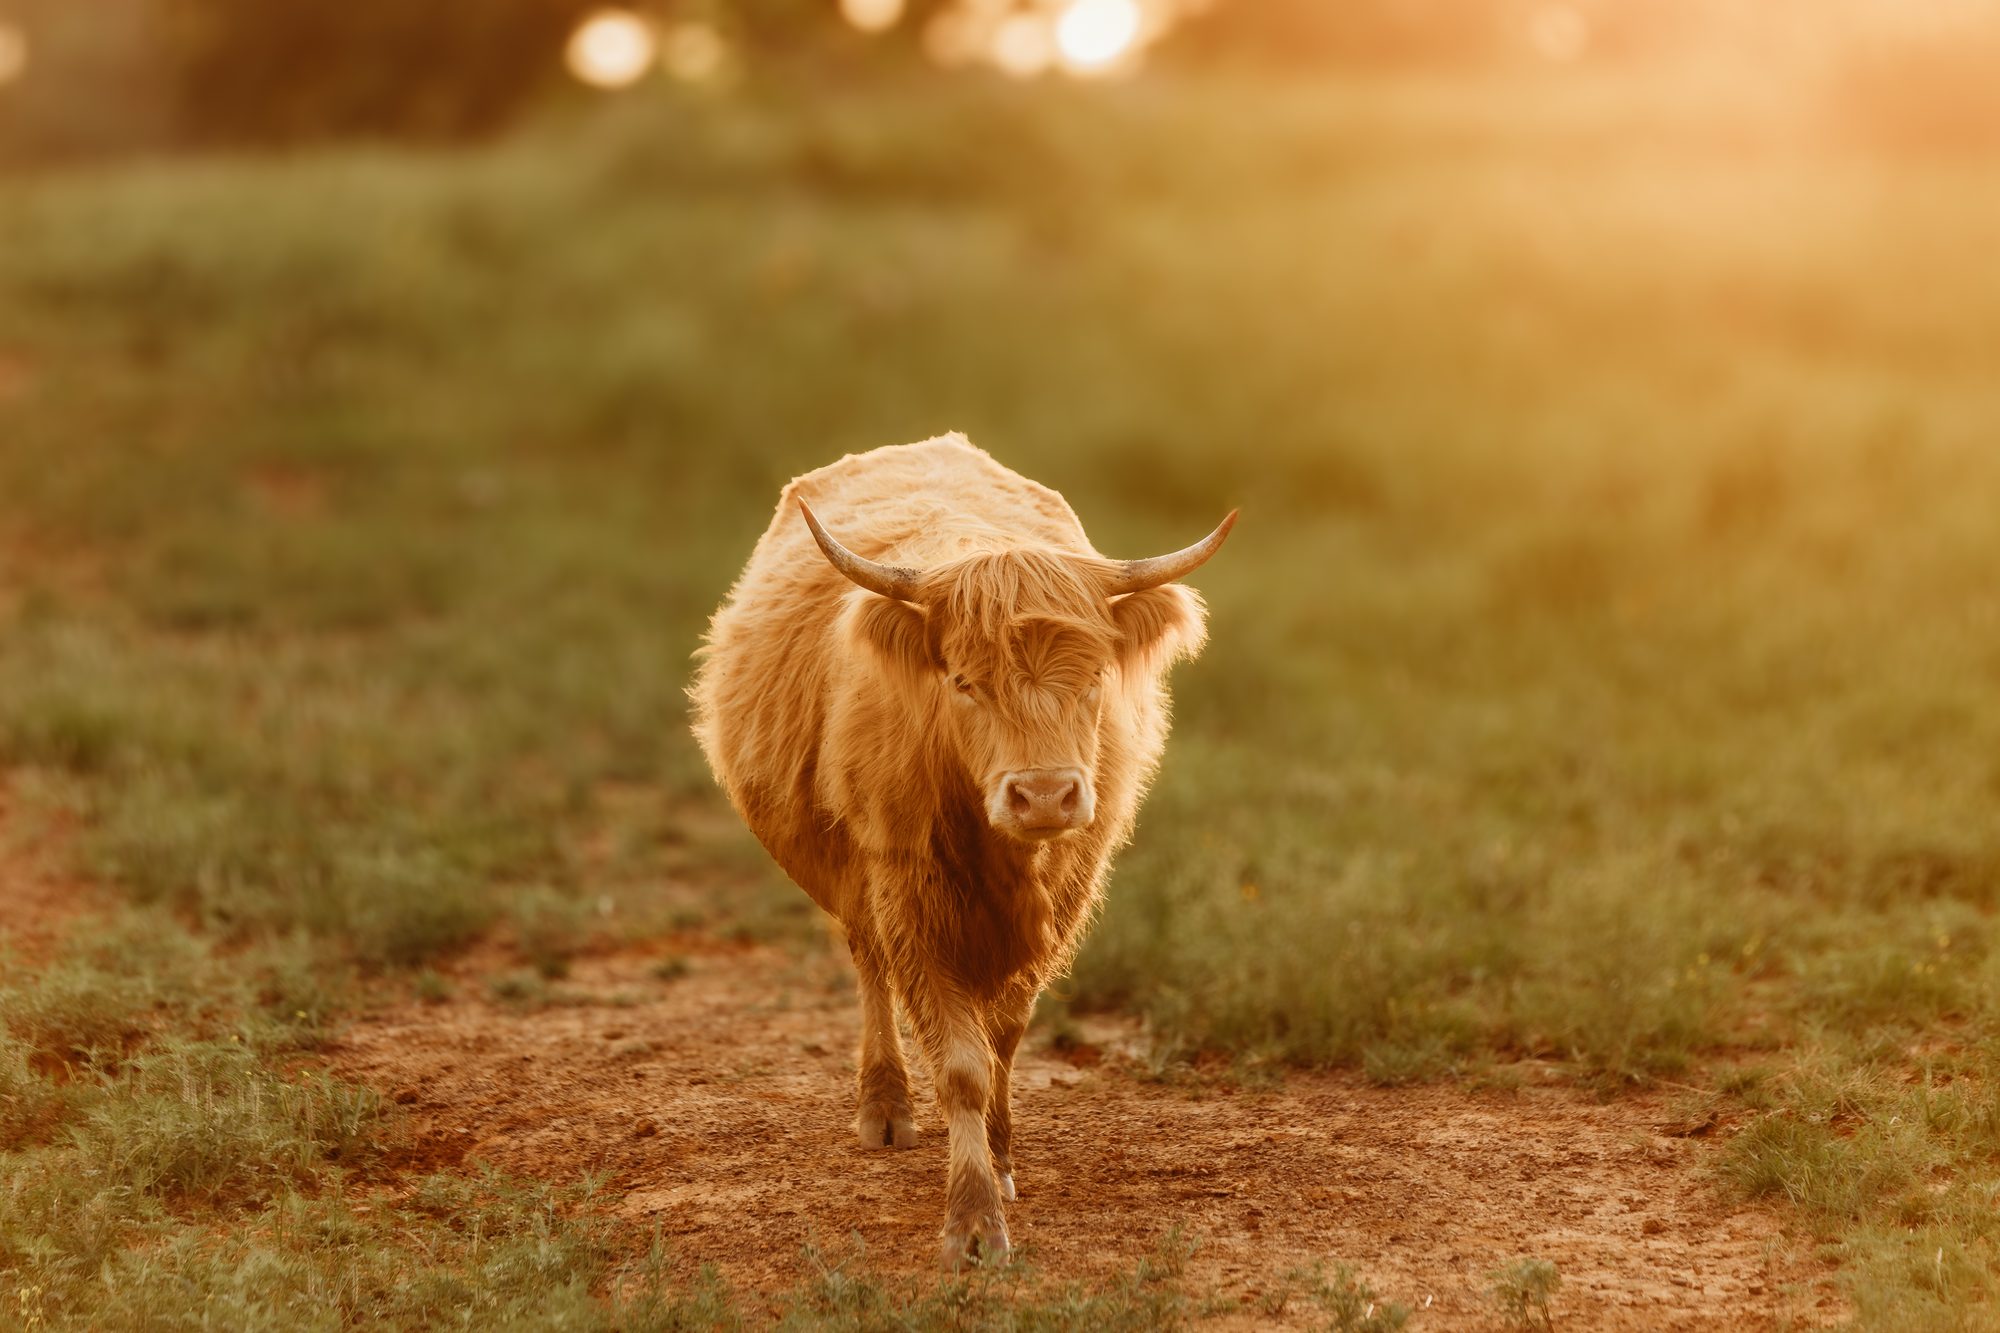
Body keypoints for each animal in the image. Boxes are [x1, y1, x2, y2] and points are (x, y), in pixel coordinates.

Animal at [689, 434, 1232, 1267]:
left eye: (1094, 676)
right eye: (965, 681)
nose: (1044, 794)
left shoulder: (1065, 896)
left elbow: (1004, 1040)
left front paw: (1001, 1159)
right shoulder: (908, 894)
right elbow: (963, 1064)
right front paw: (973, 1220)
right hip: (856, 878)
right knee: (869, 965)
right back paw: (884, 1105)